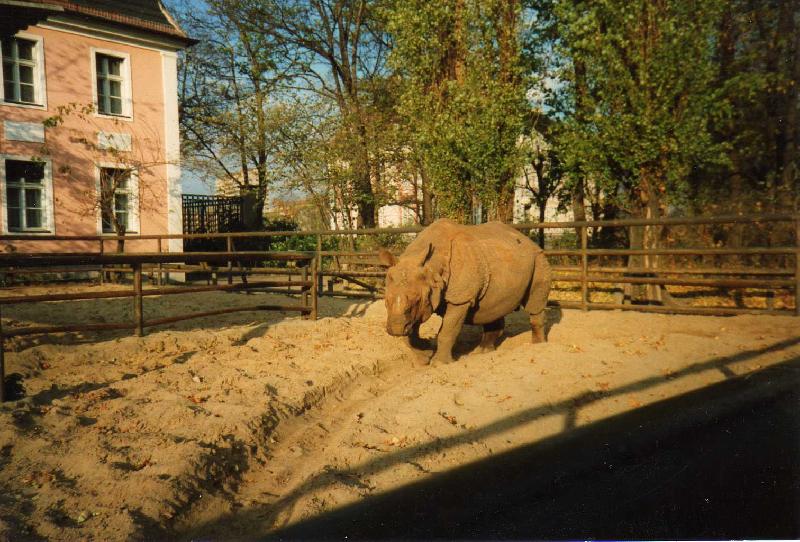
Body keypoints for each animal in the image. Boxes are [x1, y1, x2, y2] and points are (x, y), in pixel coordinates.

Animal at [379, 218, 552, 364]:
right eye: (385, 302)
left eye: (416, 300)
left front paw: (439, 363)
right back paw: (482, 352)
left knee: (534, 304)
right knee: (492, 306)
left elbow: (447, 331)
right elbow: (410, 333)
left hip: (538, 258)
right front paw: (424, 355)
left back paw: (537, 346)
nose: (395, 330)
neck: (432, 267)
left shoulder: (460, 299)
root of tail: (527, 239)